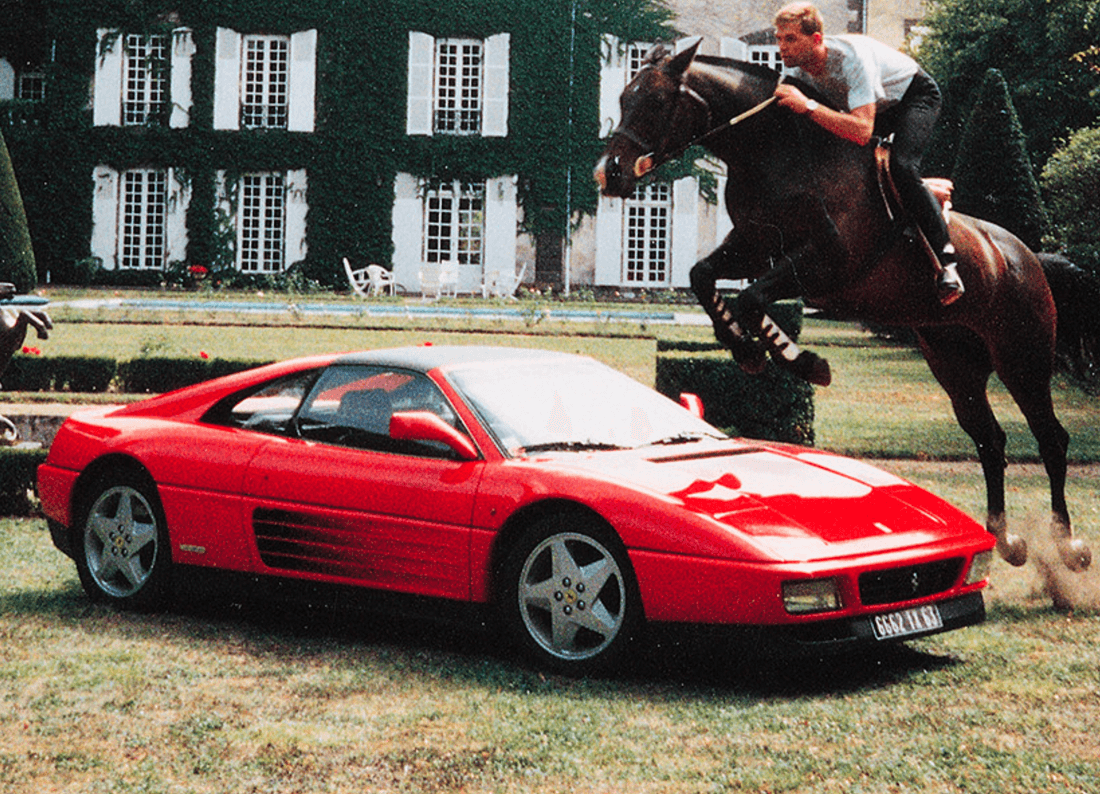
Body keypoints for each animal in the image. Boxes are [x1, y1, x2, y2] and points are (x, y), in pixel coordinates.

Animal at [598, 43, 1095, 571]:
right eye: (623, 95)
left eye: (654, 101)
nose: (608, 172)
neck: (774, 151)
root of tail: (1027, 256)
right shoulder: (752, 247)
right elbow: (702, 277)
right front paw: (747, 349)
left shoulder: (827, 262)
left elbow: (751, 298)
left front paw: (800, 361)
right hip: (954, 363)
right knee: (990, 439)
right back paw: (1001, 535)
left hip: (1022, 358)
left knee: (1051, 438)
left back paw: (1067, 544)